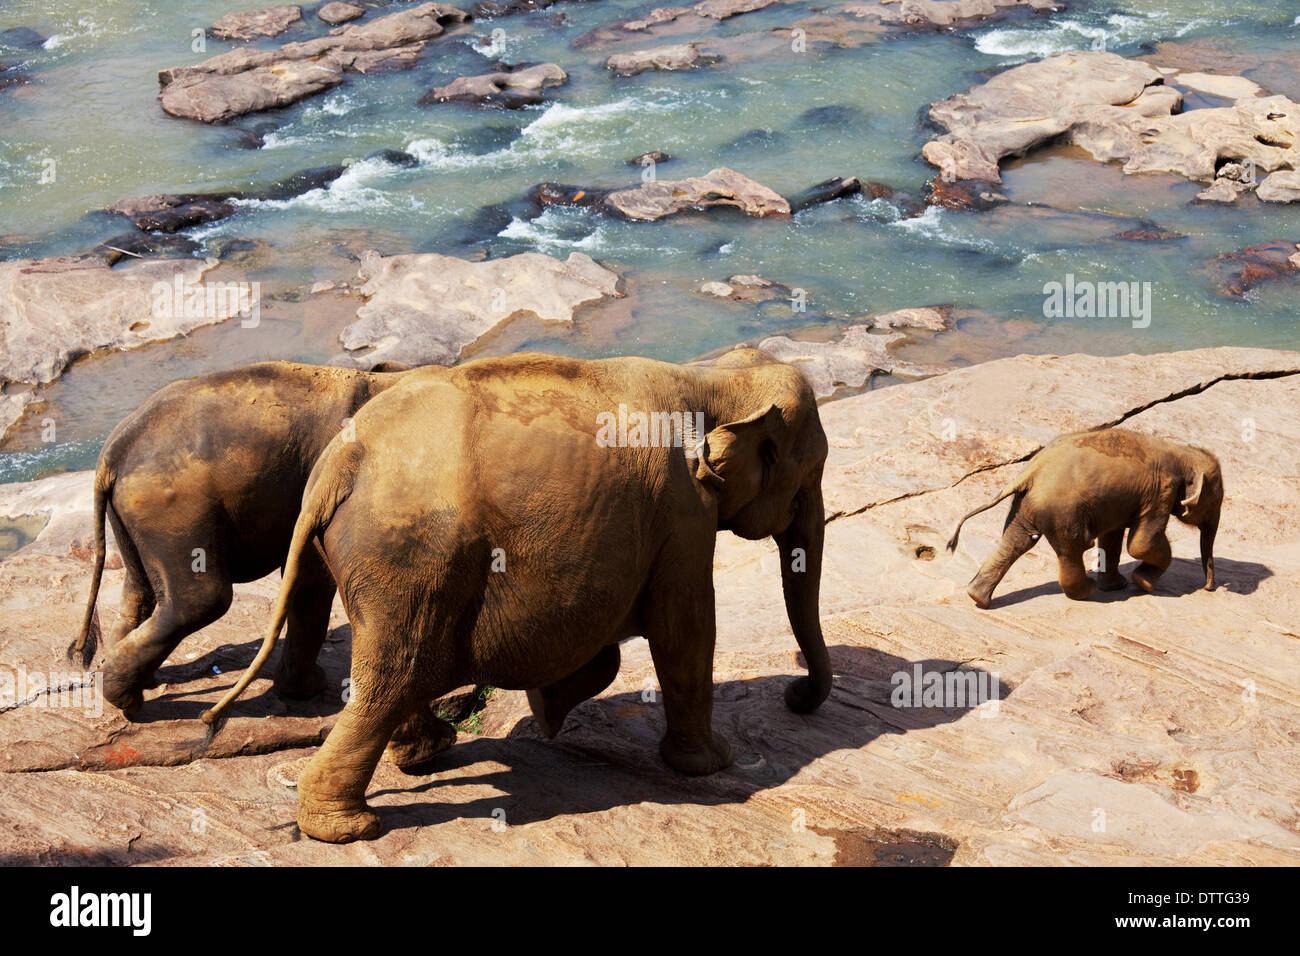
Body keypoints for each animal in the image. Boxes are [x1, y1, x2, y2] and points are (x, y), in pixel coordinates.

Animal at [70, 359, 416, 715]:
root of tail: (113, 452)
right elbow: (312, 580)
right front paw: (310, 689)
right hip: (173, 509)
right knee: (202, 599)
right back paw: (128, 698)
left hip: (133, 516)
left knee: (139, 589)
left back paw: (136, 681)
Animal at [201, 348, 832, 843]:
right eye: (811, 472)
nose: (796, 697)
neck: (713, 375)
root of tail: (337, 462)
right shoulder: (684, 513)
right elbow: (685, 627)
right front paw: (710, 765)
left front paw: (549, 708)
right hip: (412, 554)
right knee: (398, 673)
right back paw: (349, 827)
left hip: (377, 562)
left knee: (392, 662)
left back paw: (426, 754)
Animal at [946, 428, 1223, 608]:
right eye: (1217, 499)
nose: (1209, 588)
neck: (1183, 452)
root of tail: (1031, 471)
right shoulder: (1161, 492)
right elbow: (1140, 544)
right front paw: (1143, 584)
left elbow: (1112, 537)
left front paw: (1119, 585)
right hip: (1062, 512)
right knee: (1073, 547)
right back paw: (1086, 590)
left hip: (1025, 504)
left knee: (1017, 540)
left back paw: (976, 598)